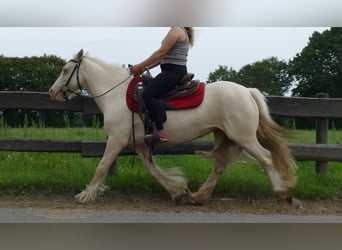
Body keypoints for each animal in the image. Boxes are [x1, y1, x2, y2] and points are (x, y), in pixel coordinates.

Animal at [48, 48, 296, 205]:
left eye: (64, 70)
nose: (53, 92)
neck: (116, 95)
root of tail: (247, 91)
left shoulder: (116, 140)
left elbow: (101, 167)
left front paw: (85, 195)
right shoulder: (139, 144)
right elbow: (153, 170)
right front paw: (176, 190)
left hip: (243, 136)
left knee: (265, 157)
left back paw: (283, 191)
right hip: (222, 135)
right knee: (220, 164)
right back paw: (198, 197)